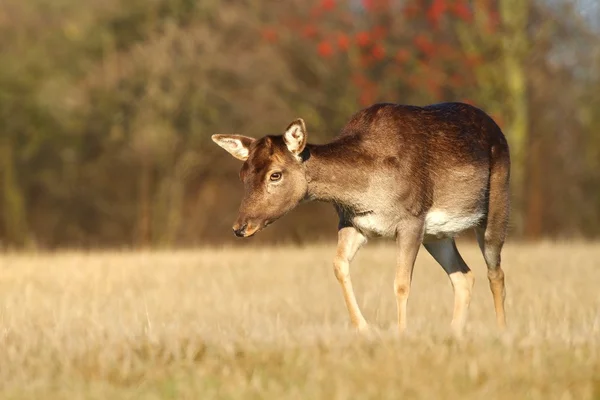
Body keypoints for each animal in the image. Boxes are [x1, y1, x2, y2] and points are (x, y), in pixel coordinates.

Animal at [212, 101, 510, 336]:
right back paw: (454, 333)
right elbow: (338, 265)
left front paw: (401, 334)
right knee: (464, 276)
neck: (366, 190)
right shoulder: (352, 222)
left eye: (275, 174)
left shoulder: (412, 218)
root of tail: (498, 129)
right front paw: (364, 328)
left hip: (497, 203)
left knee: (495, 271)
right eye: (243, 174)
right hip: (437, 234)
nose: (240, 227)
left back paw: (501, 331)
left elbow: (401, 283)